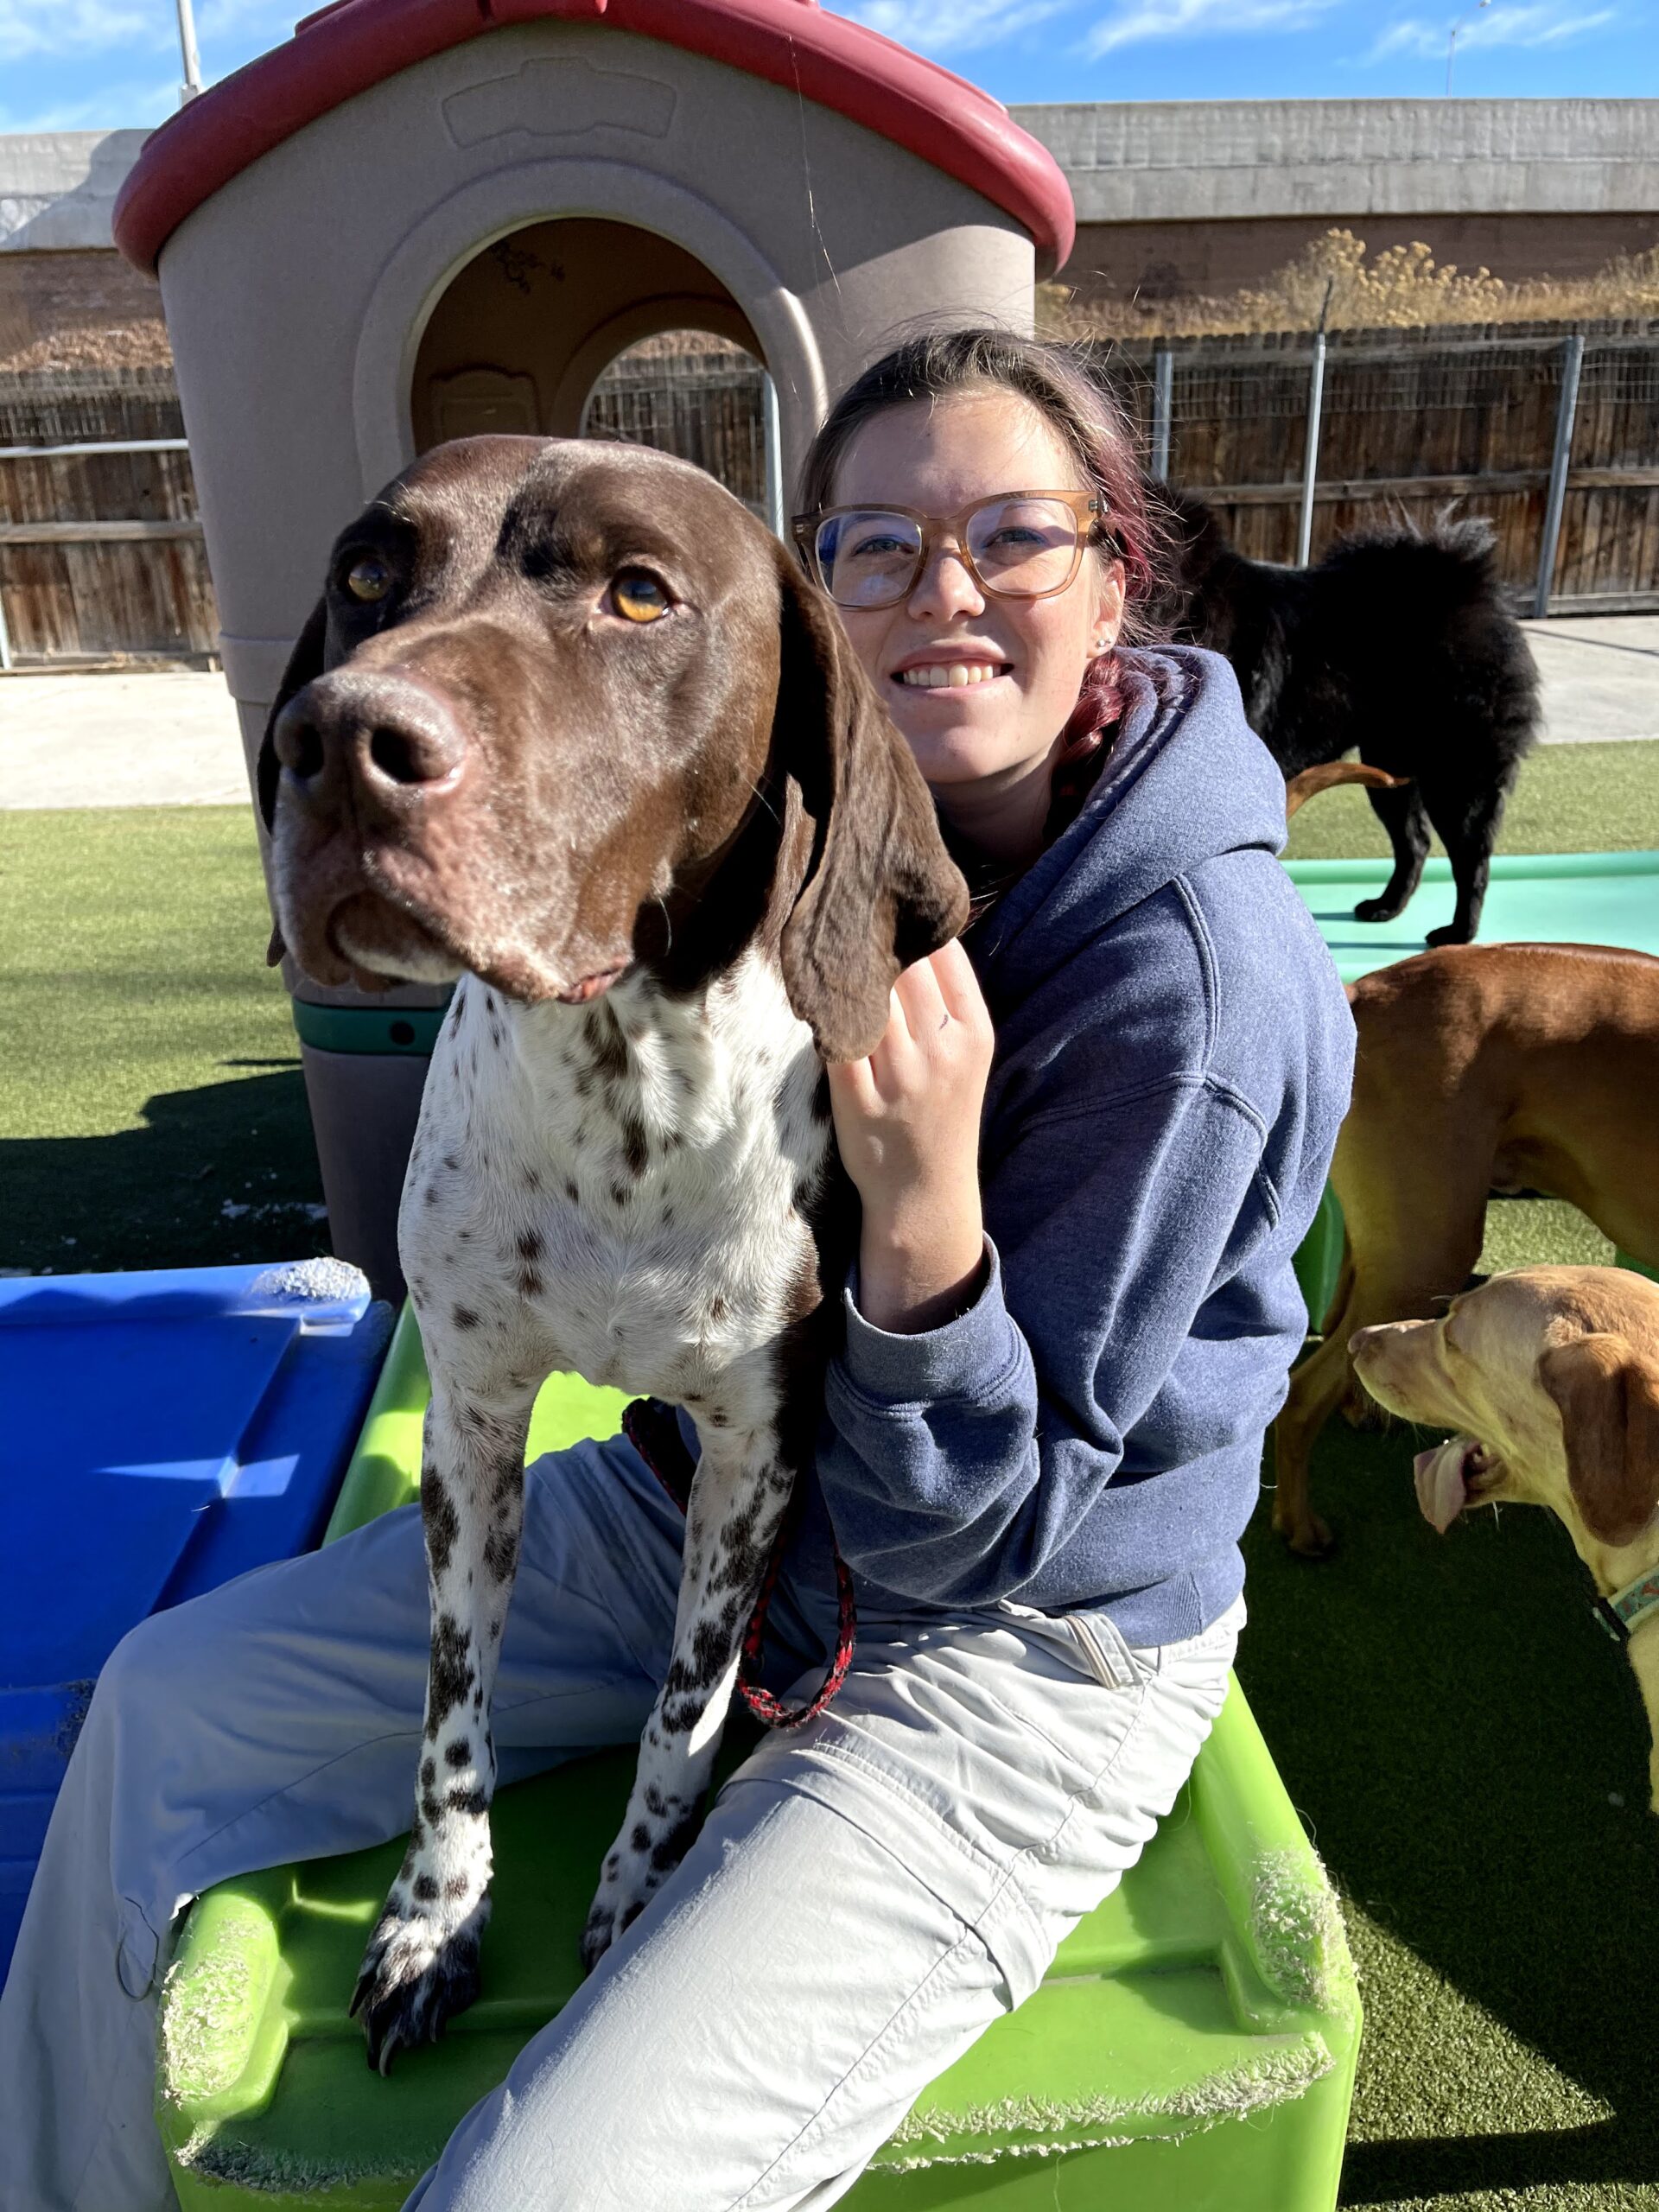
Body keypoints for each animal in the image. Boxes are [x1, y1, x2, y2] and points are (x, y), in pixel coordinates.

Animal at [253, 435, 969, 2070]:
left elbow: (685, 1707)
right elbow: (452, 1709)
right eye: (368, 574)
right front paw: (435, 1917)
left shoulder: (760, 1454)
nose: (340, 739)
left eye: (640, 594)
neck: (618, 1092)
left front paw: (639, 1892)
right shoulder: (469, 1423)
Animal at [1167, 493, 1548, 942]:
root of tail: (1468, 587)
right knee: (1415, 842)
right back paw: (1386, 907)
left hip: (1458, 776)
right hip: (1388, 768)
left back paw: (1458, 933)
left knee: (1471, 856)